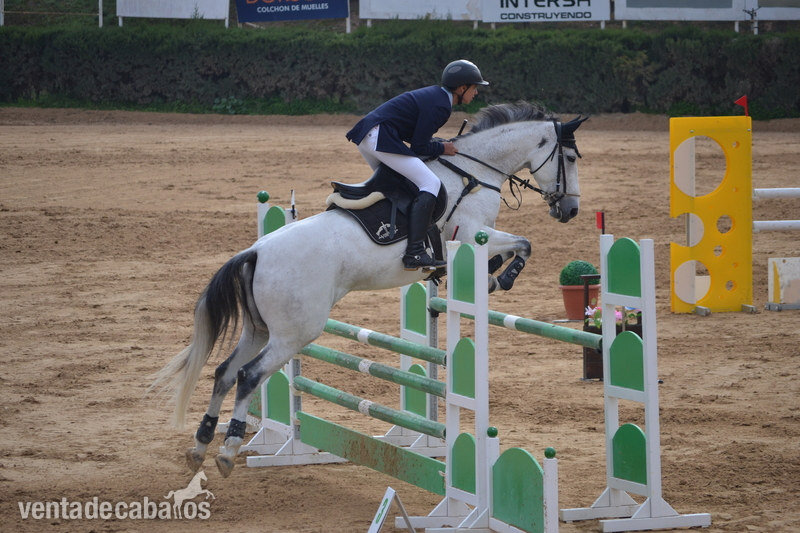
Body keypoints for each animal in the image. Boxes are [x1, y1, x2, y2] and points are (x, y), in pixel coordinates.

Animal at [150, 101, 587, 478]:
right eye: (570, 158)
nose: (570, 211)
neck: (472, 172)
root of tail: (256, 251)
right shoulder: (470, 235)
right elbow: (524, 244)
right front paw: (502, 278)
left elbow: (516, 247)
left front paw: (490, 275)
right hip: (294, 333)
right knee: (248, 375)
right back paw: (227, 451)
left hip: (259, 329)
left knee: (224, 372)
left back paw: (201, 444)